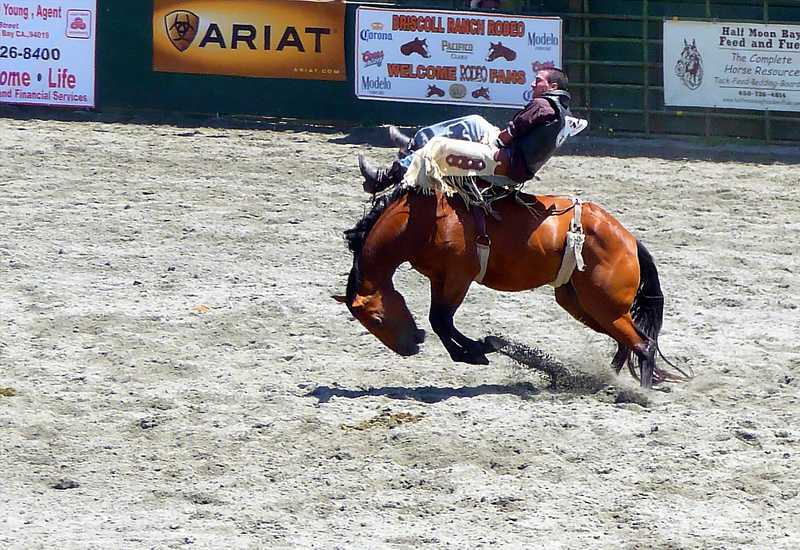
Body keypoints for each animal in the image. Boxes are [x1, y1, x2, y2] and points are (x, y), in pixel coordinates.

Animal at [336, 188, 680, 390]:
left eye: (377, 320)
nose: (410, 347)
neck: (421, 221)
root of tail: (630, 240)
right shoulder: (439, 279)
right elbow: (440, 321)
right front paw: (481, 348)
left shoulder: (458, 278)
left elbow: (441, 321)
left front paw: (479, 350)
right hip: (582, 303)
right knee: (627, 342)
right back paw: (605, 380)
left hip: (604, 305)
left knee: (642, 343)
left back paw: (639, 392)